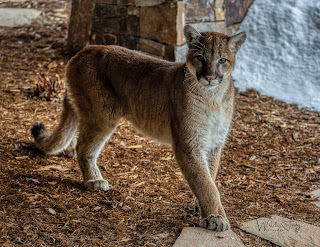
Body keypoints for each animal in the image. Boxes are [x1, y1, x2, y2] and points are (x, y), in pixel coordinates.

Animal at [31, 25, 246, 232]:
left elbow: (210, 176)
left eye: (222, 60)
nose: (210, 77)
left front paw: (200, 206)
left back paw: (68, 151)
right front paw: (216, 218)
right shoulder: (189, 145)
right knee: (84, 147)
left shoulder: (214, 143)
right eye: (200, 57)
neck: (213, 98)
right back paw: (93, 180)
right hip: (102, 115)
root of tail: (85, 50)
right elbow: (205, 183)